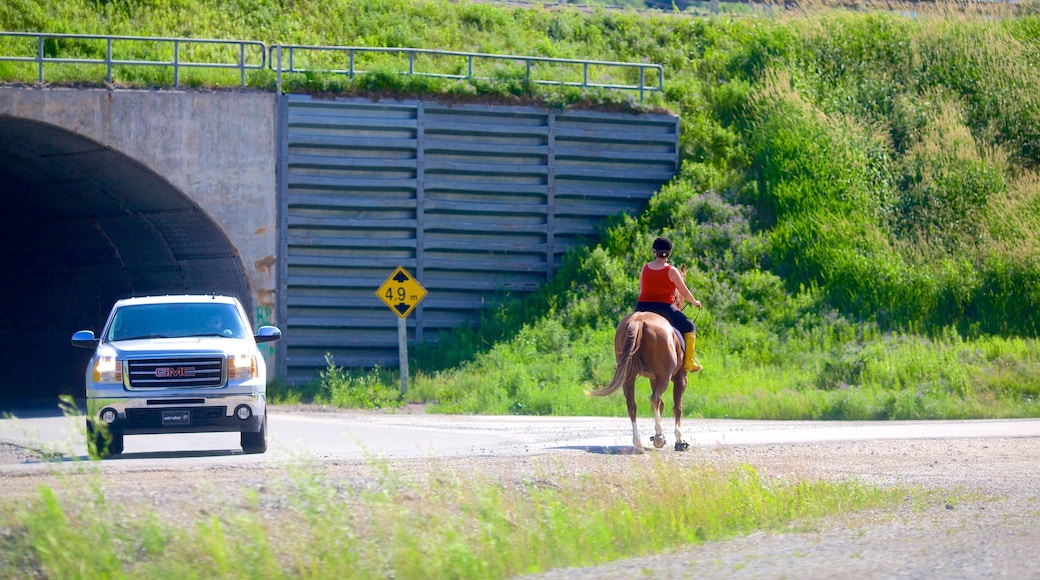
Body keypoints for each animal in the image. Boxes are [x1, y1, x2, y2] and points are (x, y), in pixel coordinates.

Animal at [586, 311, 690, 457]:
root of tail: (638, 320)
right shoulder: (680, 378)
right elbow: (677, 407)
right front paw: (679, 441)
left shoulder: (653, 379)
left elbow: (662, 406)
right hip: (664, 376)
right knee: (655, 399)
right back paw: (658, 438)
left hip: (628, 376)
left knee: (632, 405)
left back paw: (639, 443)